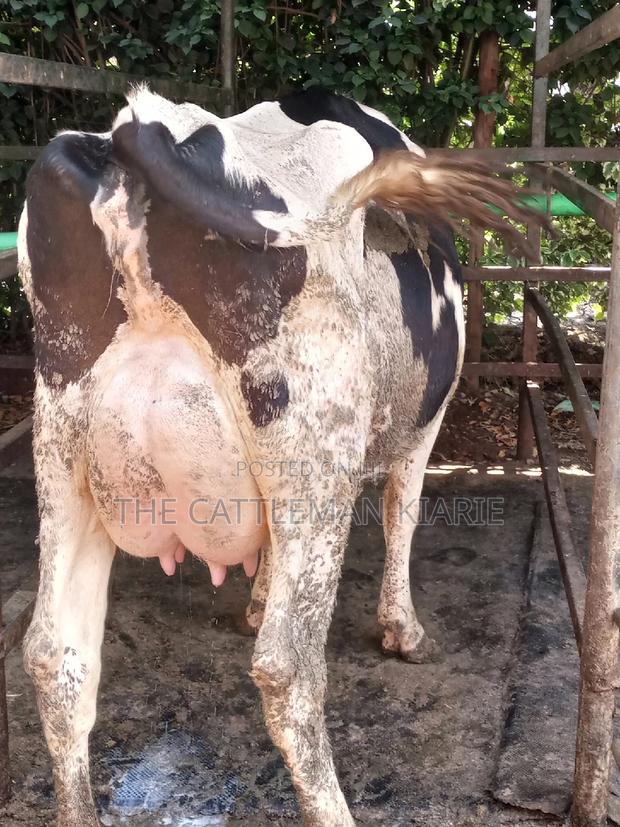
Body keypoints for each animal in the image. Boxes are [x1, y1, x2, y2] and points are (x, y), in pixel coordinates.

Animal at [18, 86, 537, 826]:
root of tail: (137, 128)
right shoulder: (424, 421)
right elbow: (403, 511)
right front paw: (402, 628)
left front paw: (258, 597)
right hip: (314, 454)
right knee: (287, 666)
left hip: (61, 447)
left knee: (54, 653)